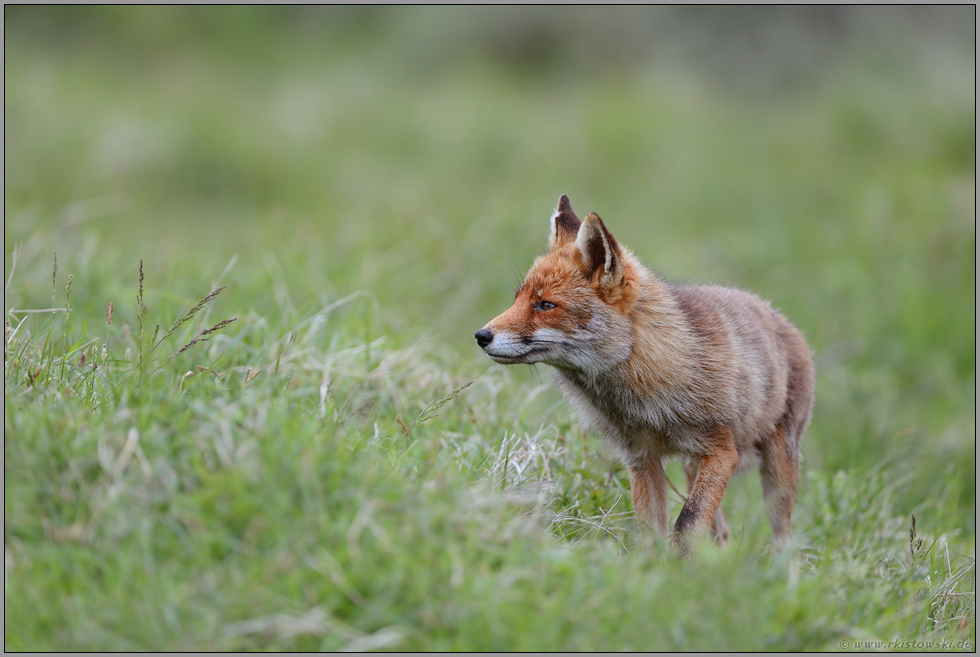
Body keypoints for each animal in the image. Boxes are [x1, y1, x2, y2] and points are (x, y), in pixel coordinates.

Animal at [478, 196, 816, 552]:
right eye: (518, 299)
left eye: (545, 305)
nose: (481, 336)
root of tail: (779, 316)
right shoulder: (641, 458)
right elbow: (650, 530)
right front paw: (652, 566)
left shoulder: (721, 451)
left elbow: (687, 521)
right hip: (692, 466)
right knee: (721, 532)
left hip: (775, 465)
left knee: (784, 535)